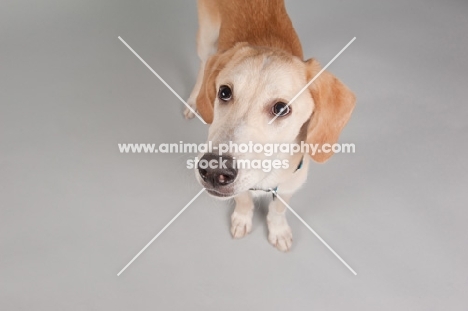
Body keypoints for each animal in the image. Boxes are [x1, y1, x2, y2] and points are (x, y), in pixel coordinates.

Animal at [183, 0, 354, 252]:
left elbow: (278, 209)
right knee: (204, 64)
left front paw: (278, 230)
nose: (213, 170)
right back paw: (194, 101)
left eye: (281, 109)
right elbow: (243, 200)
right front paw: (242, 219)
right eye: (224, 92)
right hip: (207, 36)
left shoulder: (291, 183)